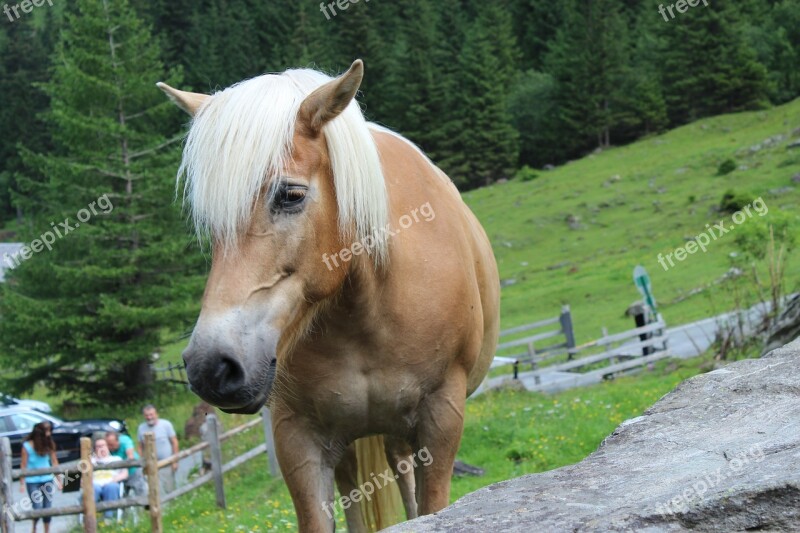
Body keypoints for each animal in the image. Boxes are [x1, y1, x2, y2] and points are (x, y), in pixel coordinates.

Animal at [159, 60, 500, 528]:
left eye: (290, 195)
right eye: (210, 223)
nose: (212, 366)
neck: (367, 313)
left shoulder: (441, 417)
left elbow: (431, 507)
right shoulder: (296, 435)